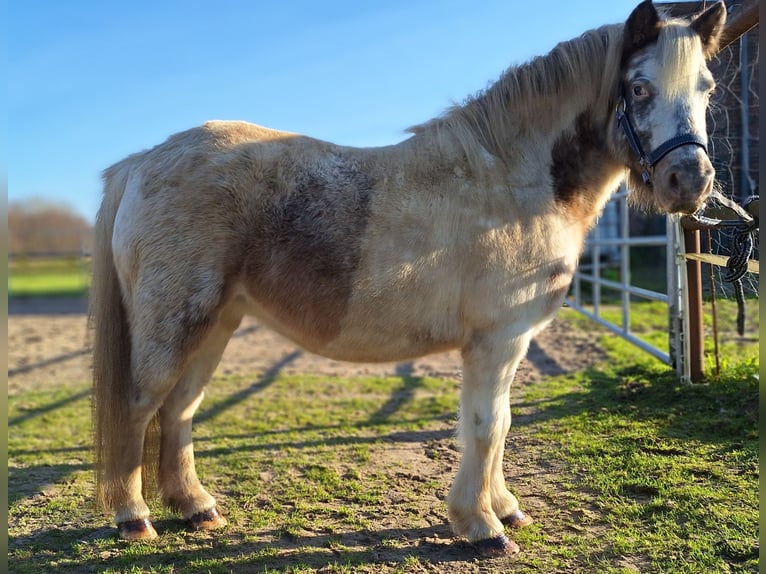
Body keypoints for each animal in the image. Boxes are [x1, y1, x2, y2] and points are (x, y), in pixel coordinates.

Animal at [90, 0, 728, 560]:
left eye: (707, 88)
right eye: (639, 88)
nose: (690, 181)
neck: (513, 181)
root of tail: (143, 161)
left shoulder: (506, 345)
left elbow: (498, 425)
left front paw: (504, 507)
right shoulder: (495, 342)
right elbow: (487, 426)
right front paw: (482, 526)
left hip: (216, 324)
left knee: (180, 410)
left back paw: (196, 508)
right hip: (173, 325)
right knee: (141, 405)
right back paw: (134, 518)